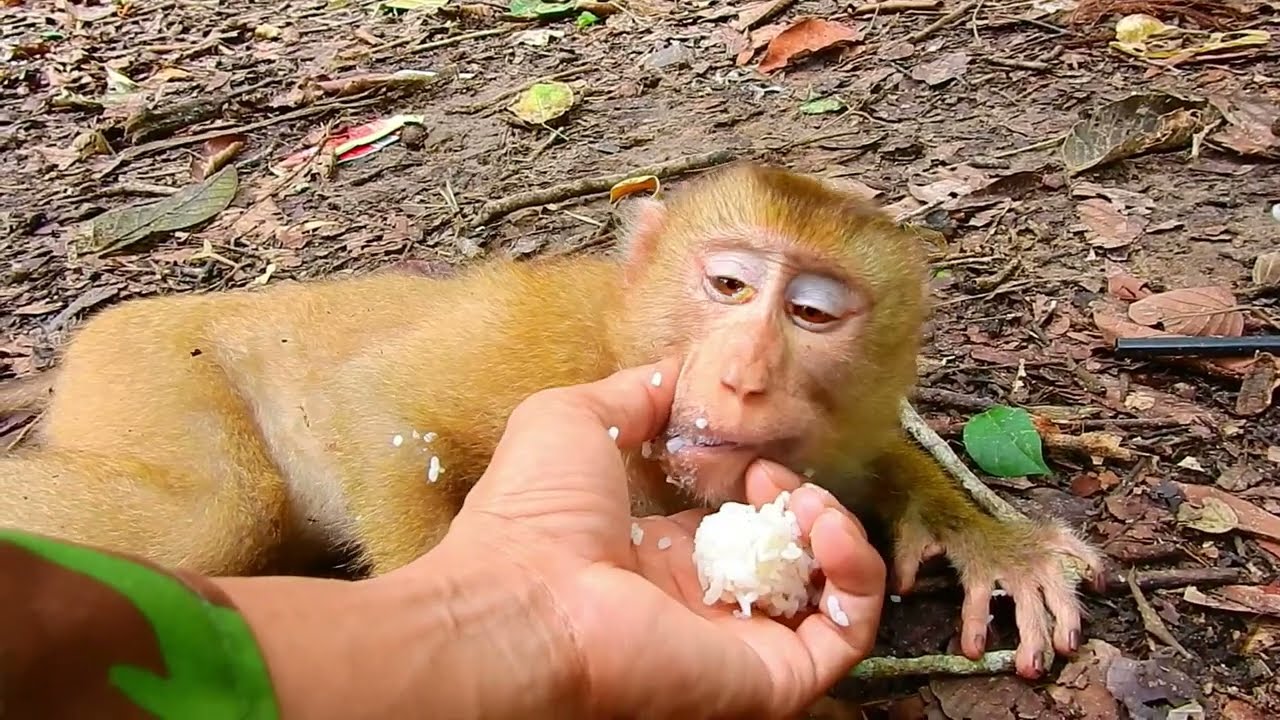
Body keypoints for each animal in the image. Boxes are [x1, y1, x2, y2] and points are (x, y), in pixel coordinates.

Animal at [0, 162, 1102, 680]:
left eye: (813, 313)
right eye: (729, 286)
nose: (744, 376)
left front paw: (984, 539)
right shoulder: (549, 345)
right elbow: (380, 405)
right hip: (139, 363)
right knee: (220, 513)